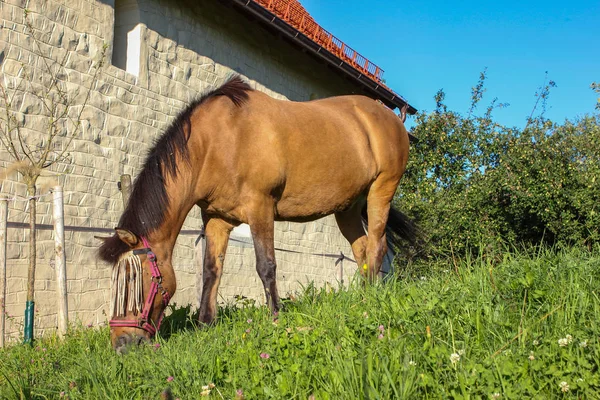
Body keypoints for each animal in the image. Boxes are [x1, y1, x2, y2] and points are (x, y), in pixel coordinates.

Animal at [98, 75, 418, 350]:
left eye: (134, 280)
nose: (121, 344)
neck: (218, 141)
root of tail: (391, 117)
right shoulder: (216, 219)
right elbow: (211, 270)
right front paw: (205, 325)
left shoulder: (260, 207)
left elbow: (266, 266)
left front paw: (275, 317)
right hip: (348, 208)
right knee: (362, 250)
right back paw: (361, 297)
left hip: (381, 190)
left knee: (377, 246)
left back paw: (371, 298)